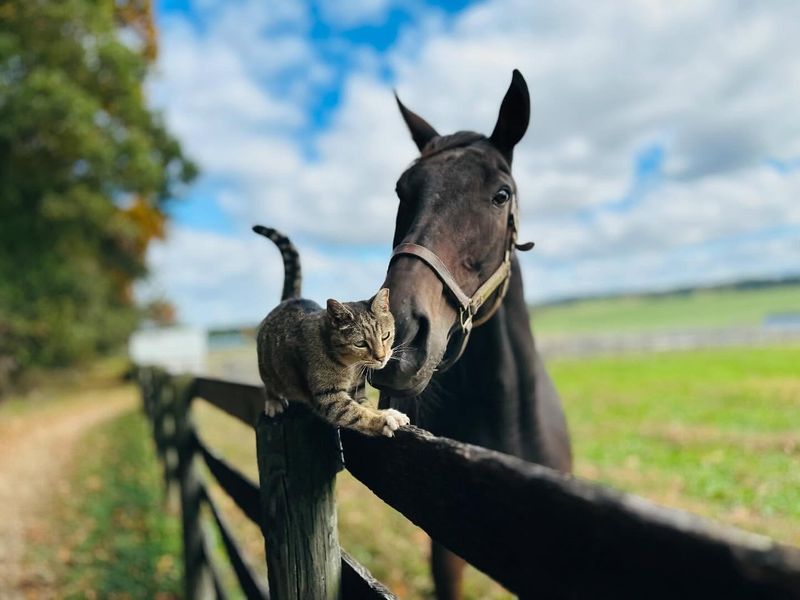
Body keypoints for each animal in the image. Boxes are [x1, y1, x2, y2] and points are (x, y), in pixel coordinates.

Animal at [253, 225, 410, 436]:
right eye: (360, 343)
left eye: (385, 336)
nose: (381, 357)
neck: (351, 366)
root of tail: (291, 299)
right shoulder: (328, 397)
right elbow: (357, 413)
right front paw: (385, 419)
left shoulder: (357, 391)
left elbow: (365, 406)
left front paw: (385, 412)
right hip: (266, 366)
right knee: (269, 384)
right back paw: (273, 402)